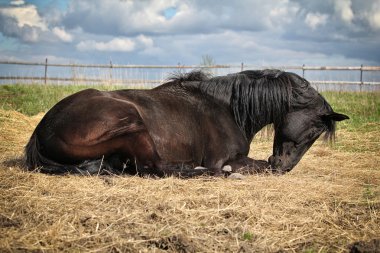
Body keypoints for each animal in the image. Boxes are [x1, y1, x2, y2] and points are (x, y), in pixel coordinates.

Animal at [25, 69, 348, 176]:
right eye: (314, 131)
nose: (286, 166)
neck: (227, 107)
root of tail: (42, 132)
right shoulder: (223, 158)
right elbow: (253, 166)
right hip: (132, 123)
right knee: (155, 169)